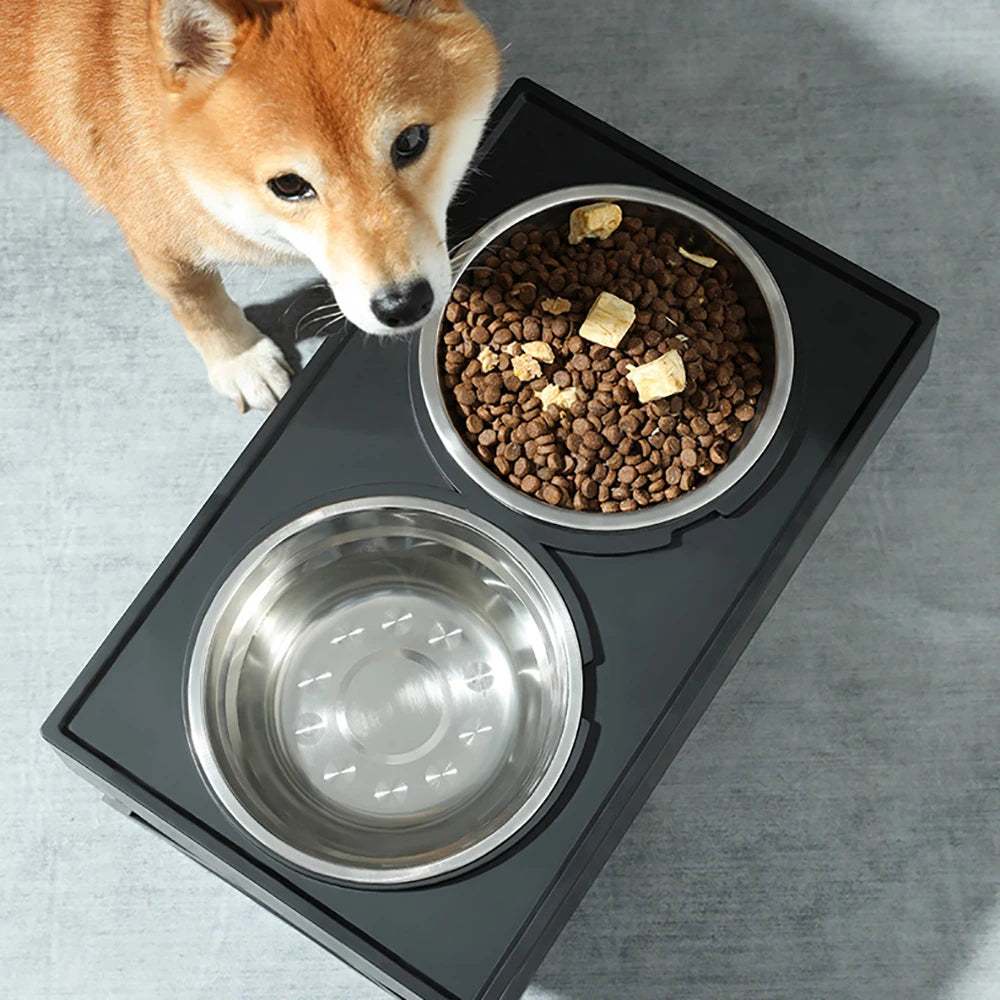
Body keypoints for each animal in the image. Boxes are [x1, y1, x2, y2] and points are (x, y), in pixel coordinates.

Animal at [0, 0, 500, 410]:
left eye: (411, 141)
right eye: (289, 185)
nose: (404, 304)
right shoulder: (160, 245)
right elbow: (198, 304)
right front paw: (240, 362)